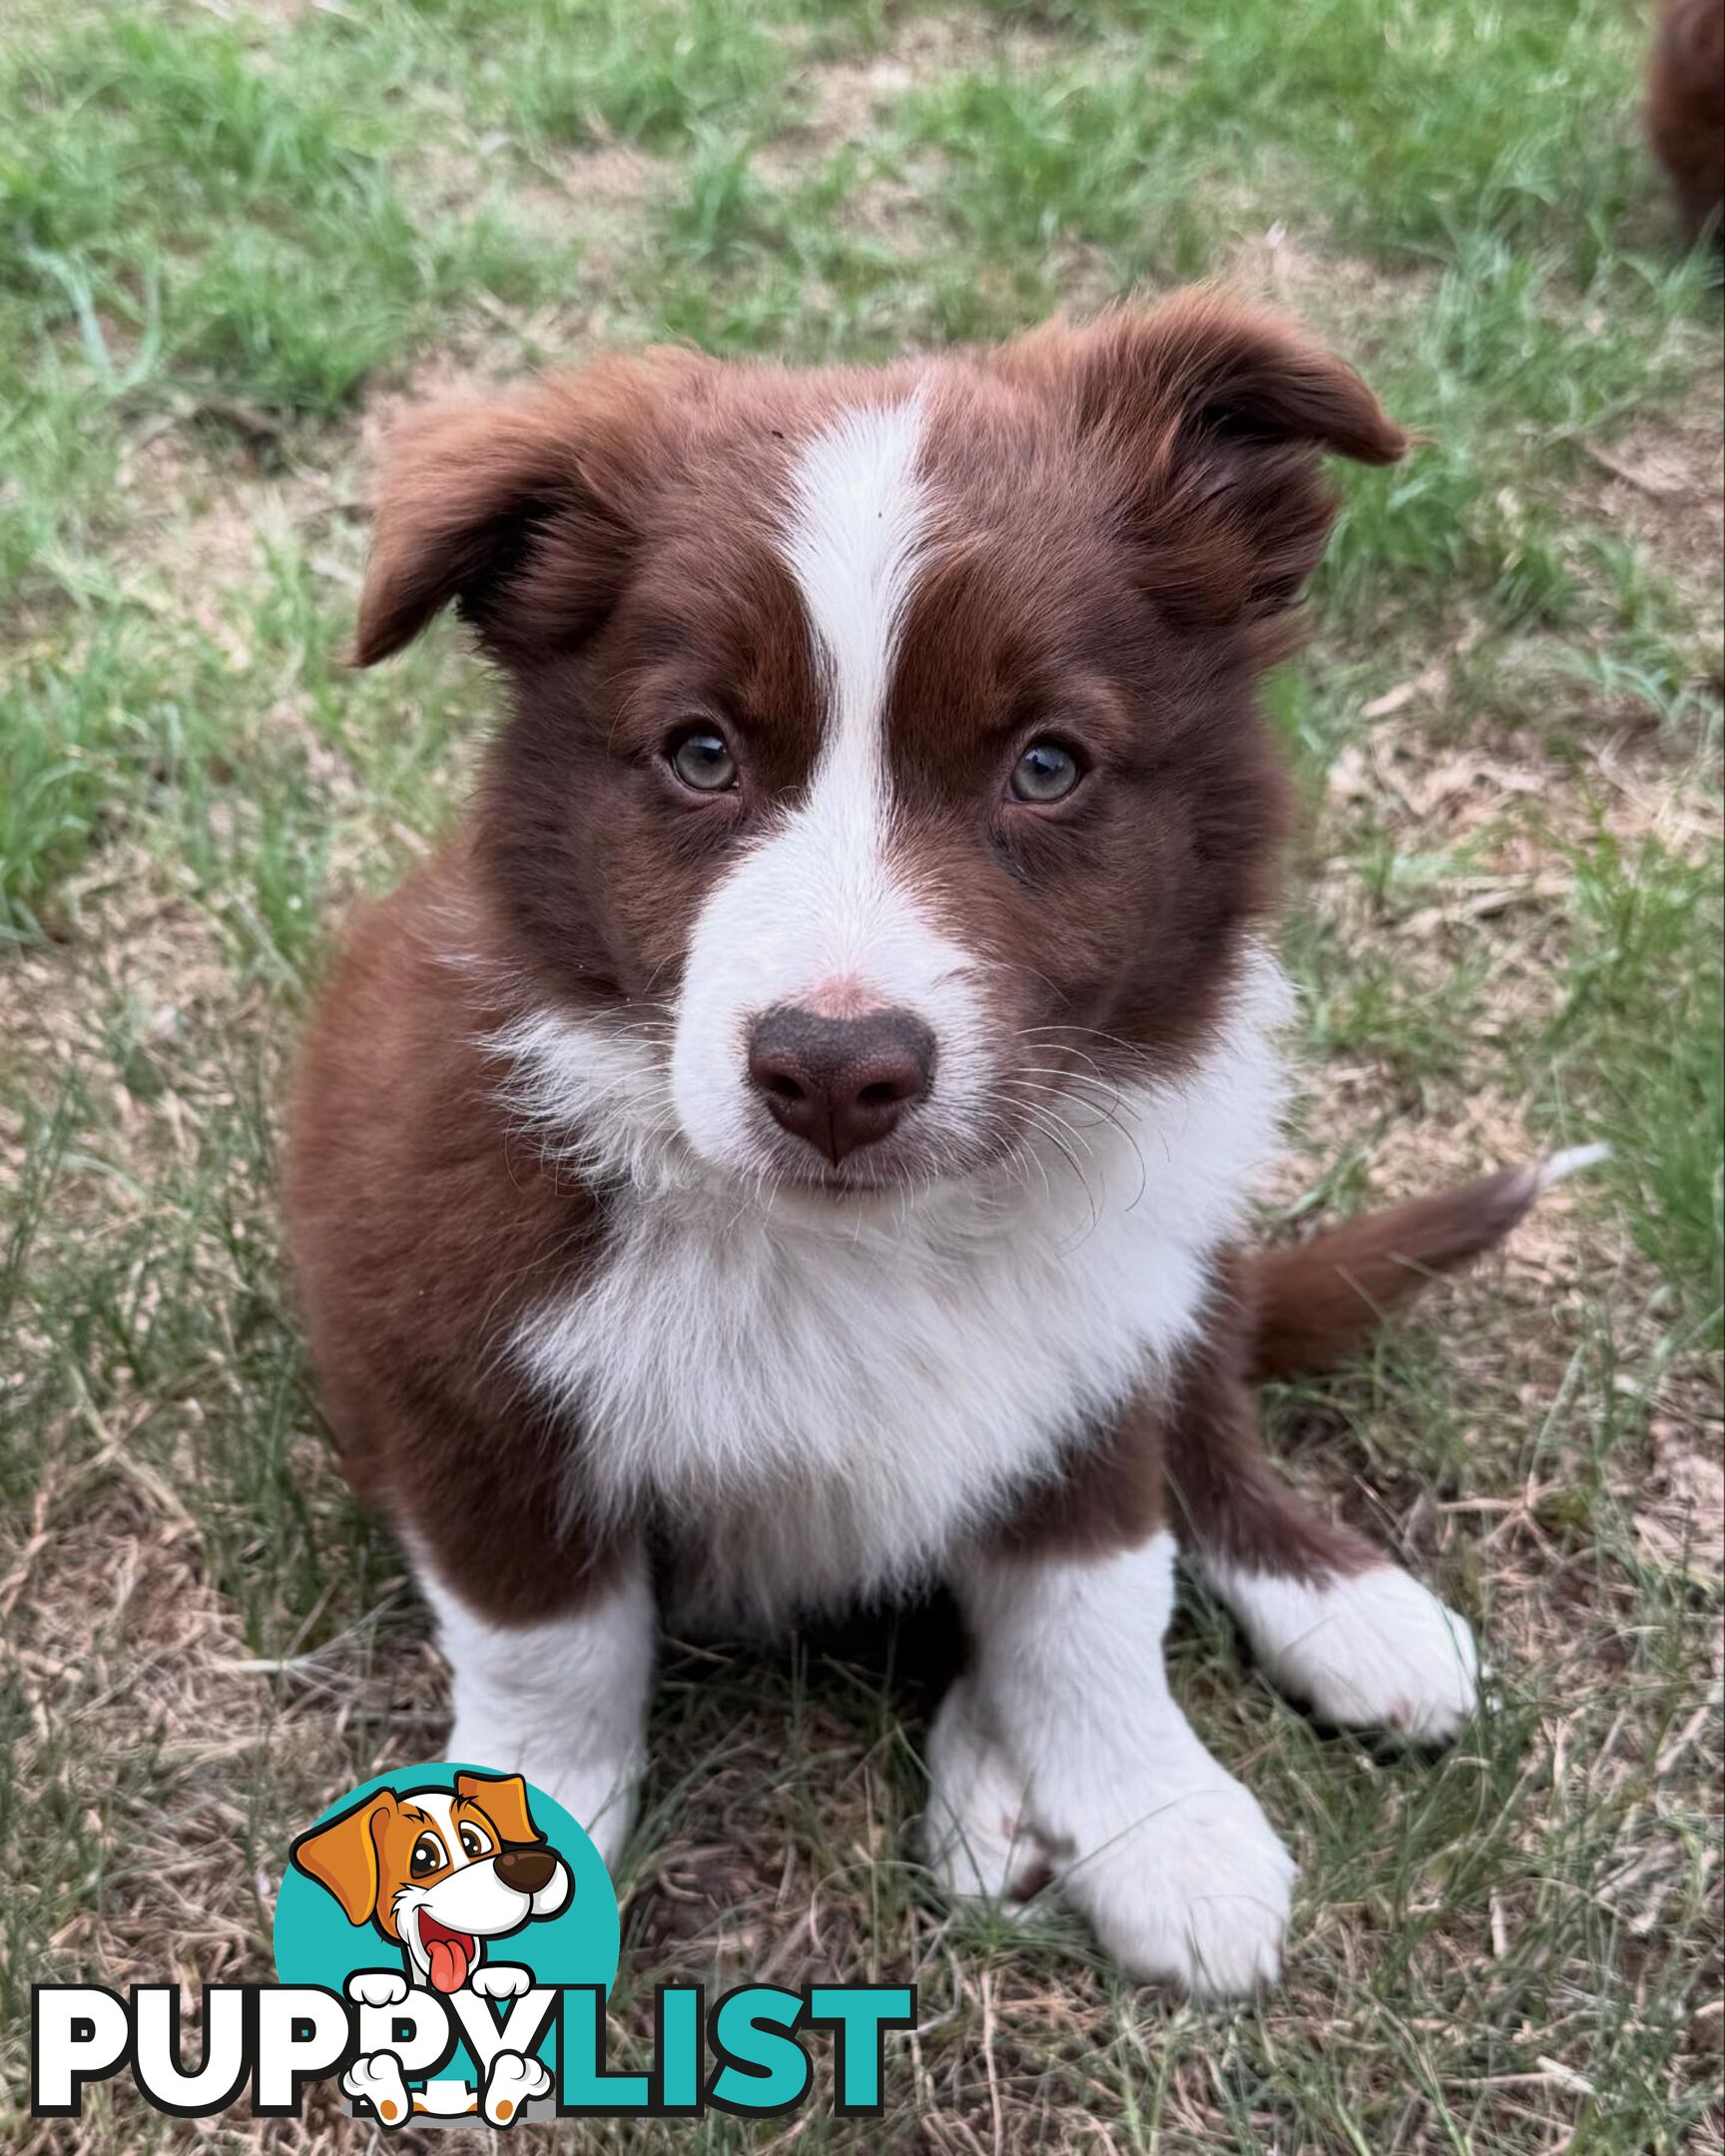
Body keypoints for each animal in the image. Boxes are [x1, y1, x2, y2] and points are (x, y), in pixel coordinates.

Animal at [288, 294, 1586, 1991]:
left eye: (1046, 766)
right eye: (700, 753)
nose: (836, 1072)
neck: (868, 1243)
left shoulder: (1099, 1344)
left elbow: (1093, 1600)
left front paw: (1161, 1820)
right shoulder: (465, 1371)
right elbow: (550, 1653)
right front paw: (507, 1858)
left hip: (1184, 1260)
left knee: (1211, 1426)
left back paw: (1330, 1617)